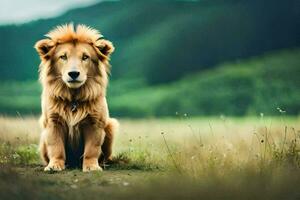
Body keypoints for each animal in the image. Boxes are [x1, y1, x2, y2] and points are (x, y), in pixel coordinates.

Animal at [34, 23, 118, 172]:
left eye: (85, 57)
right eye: (63, 57)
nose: (73, 73)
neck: (73, 99)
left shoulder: (94, 123)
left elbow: (91, 149)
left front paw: (92, 167)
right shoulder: (53, 122)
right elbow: (56, 147)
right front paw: (55, 166)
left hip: (111, 126)